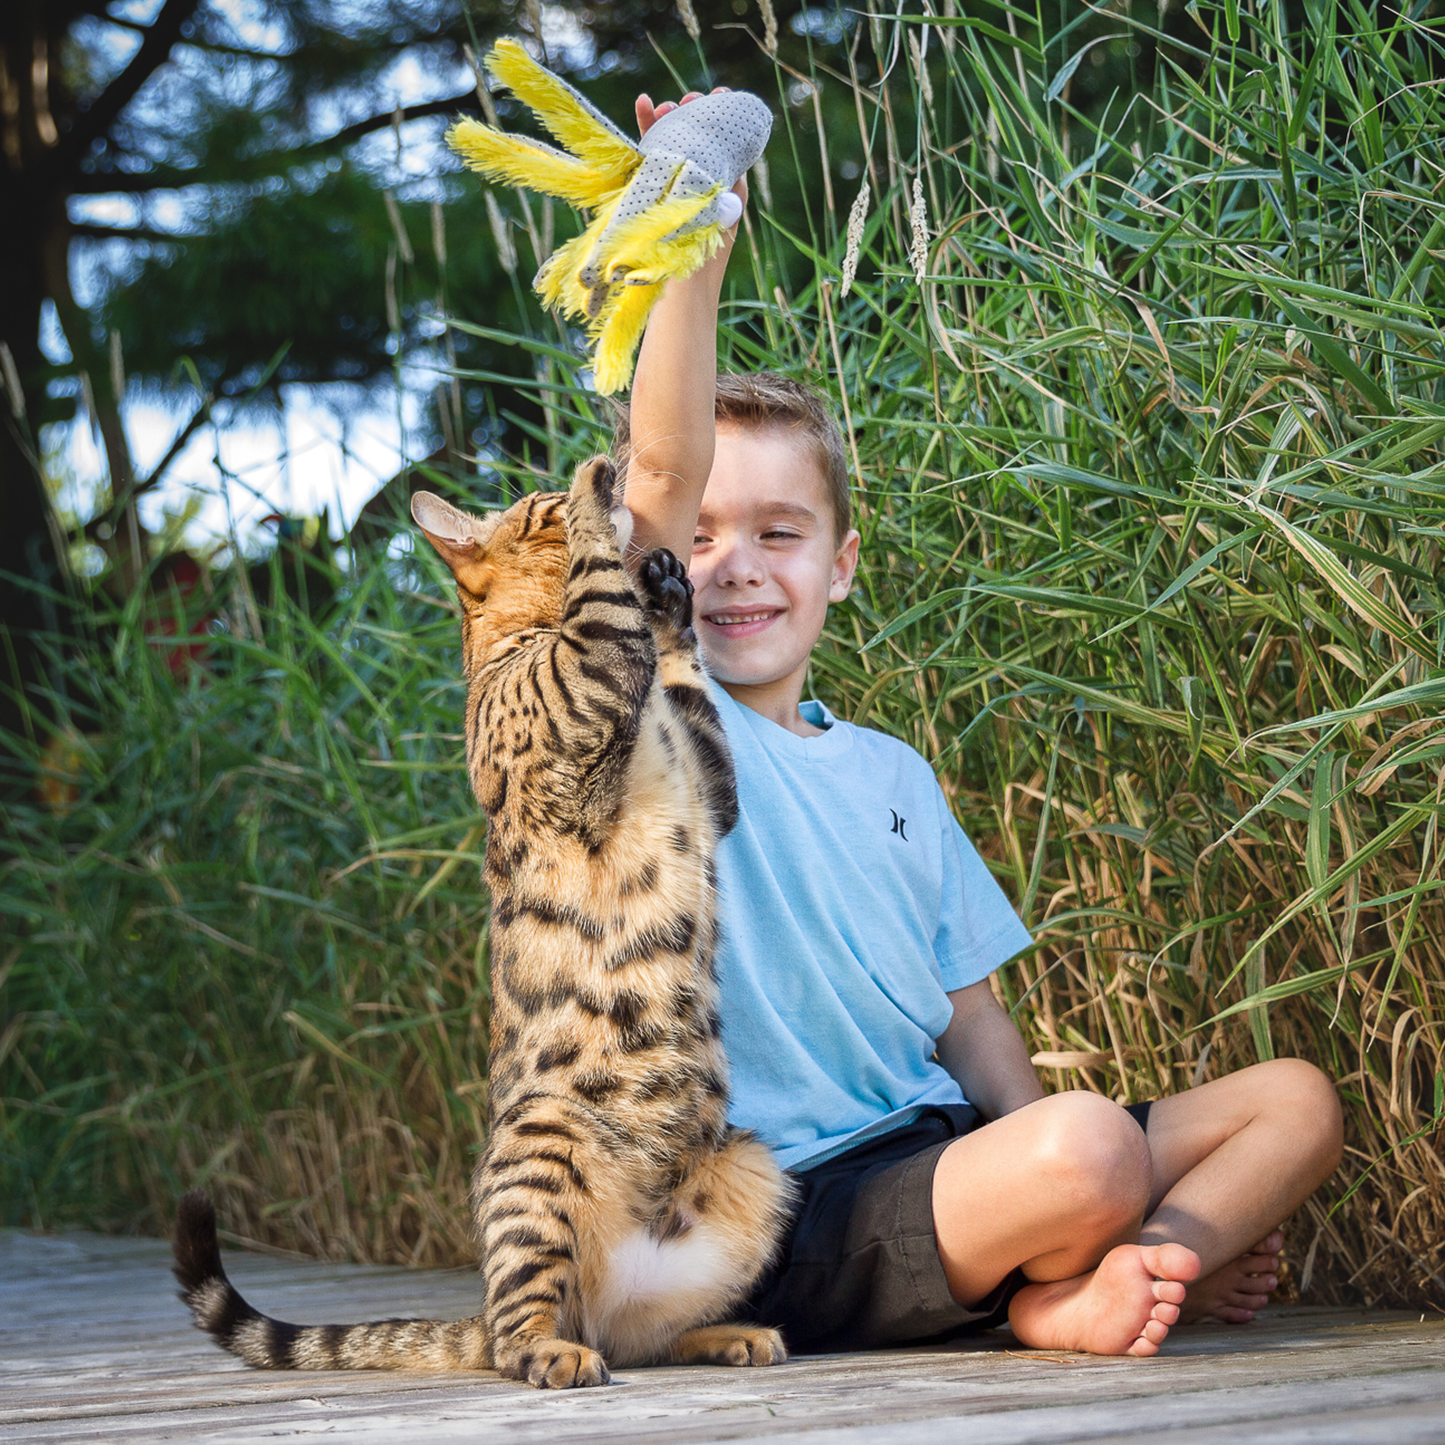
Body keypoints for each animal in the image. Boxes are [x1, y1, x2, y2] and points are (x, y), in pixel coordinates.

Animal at [177, 456, 803, 1381]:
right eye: (535, 497)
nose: (605, 464)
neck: (520, 639)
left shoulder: (708, 778)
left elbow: (684, 679)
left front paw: (666, 598)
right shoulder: (585, 686)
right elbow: (598, 599)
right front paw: (591, 493)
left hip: (751, 1166)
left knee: (638, 1334)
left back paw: (725, 1334)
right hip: (541, 1152)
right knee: (525, 1330)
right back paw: (553, 1350)